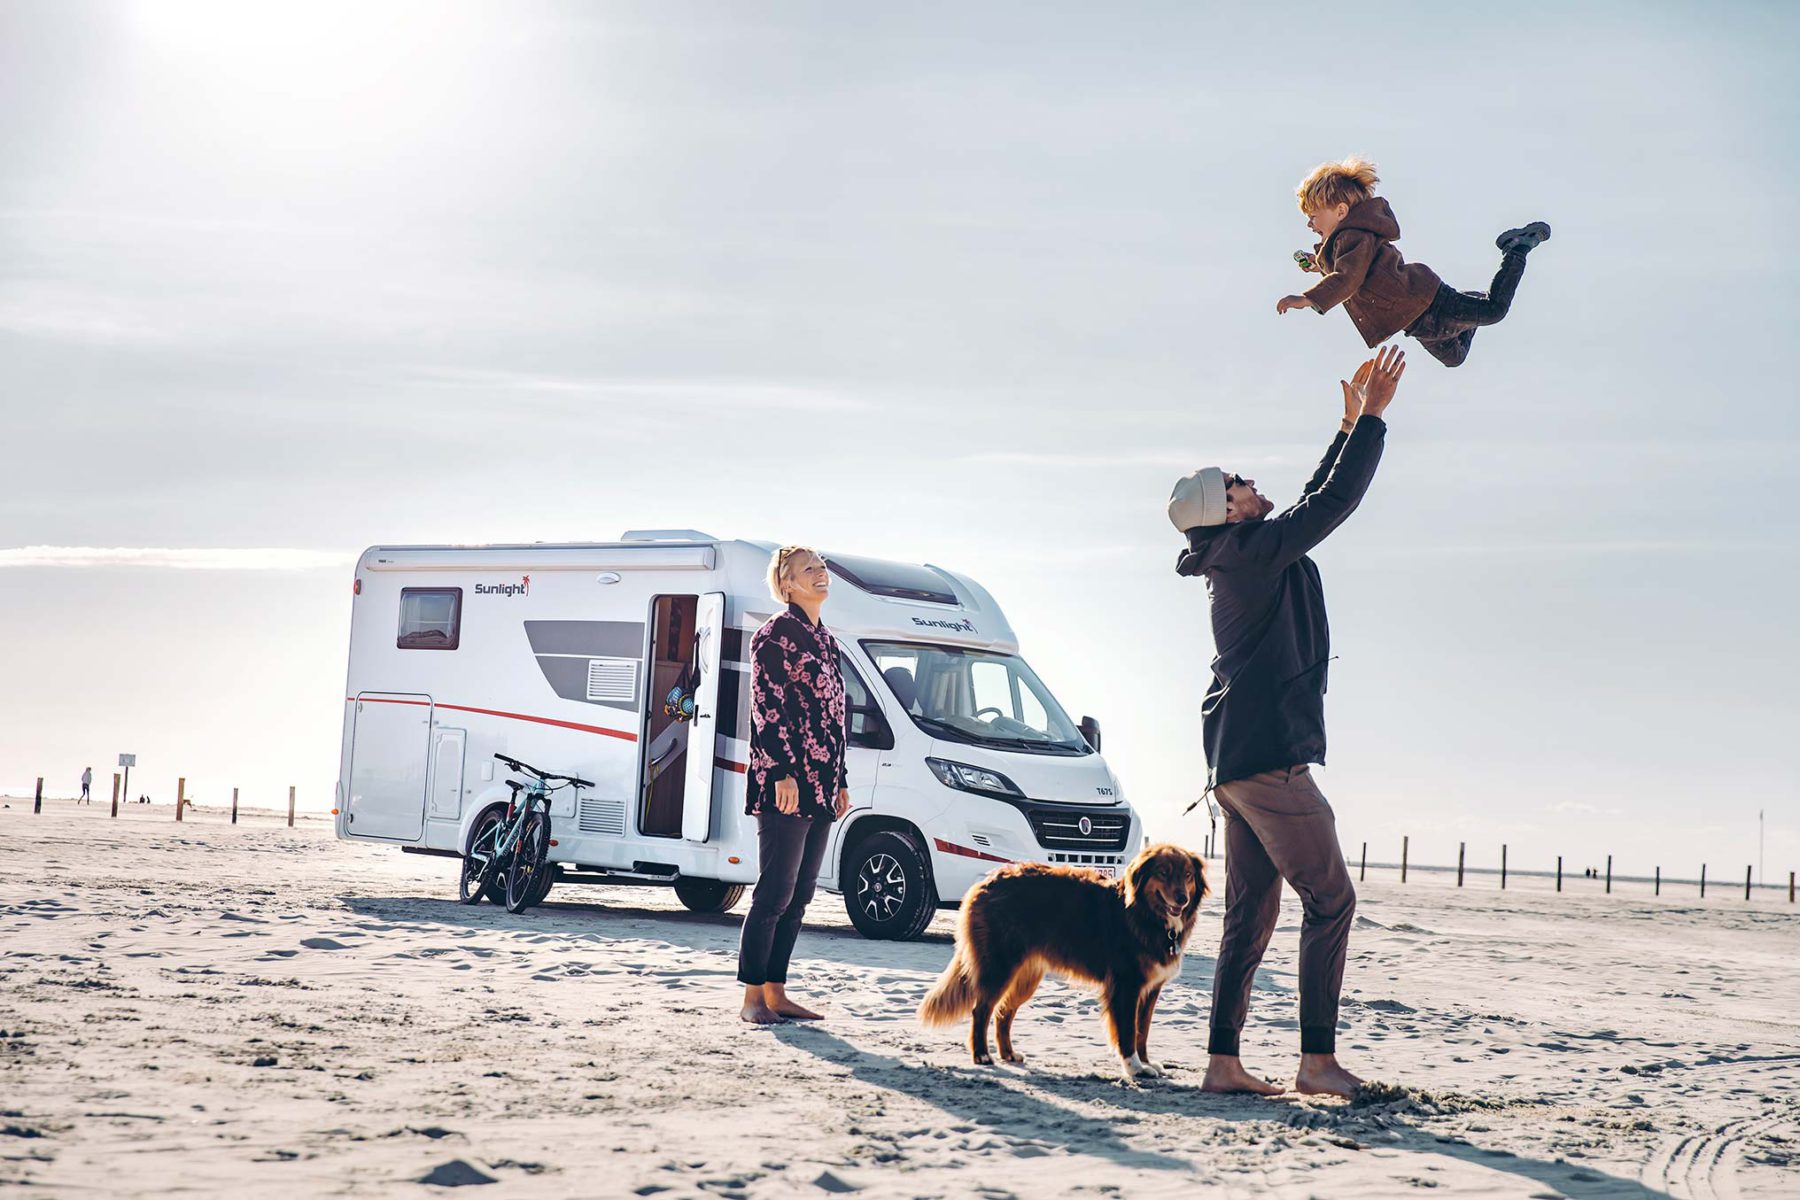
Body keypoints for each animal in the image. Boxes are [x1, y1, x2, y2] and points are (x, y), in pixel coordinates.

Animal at [914, 841, 1209, 1086]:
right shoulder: (1126, 987)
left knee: (1003, 1012)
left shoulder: (1150, 989)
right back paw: (982, 1055)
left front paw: (1146, 1063)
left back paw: (1008, 1053)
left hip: (1026, 977)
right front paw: (1134, 1068)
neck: (1144, 914)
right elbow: (1127, 1032)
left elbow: (1142, 1031)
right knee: (982, 1010)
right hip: (999, 967)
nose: (1182, 898)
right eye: (1163, 872)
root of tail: (986, 882)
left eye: (1187, 875)